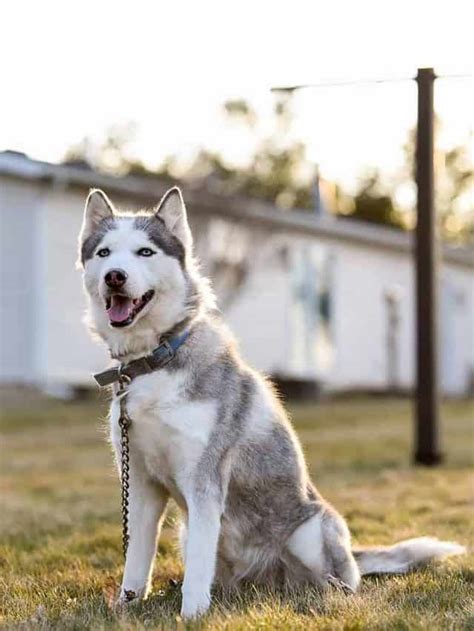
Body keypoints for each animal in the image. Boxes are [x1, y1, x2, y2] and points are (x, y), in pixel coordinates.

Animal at [77, 185, 462, 620]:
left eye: (144, 252)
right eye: (105, 253)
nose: (115, 277)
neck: (154, 361)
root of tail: (265, 581)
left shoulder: (204, 481)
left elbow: (195, 569)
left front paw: (191, 616)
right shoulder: (141, 483)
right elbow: (137, 560)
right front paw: (126, 607)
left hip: (311, 532)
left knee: (336, 583)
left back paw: (322, 594)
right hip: (188, 530)